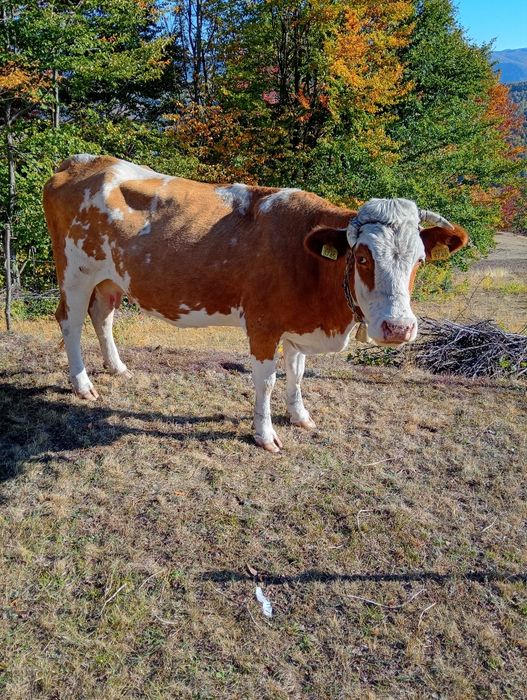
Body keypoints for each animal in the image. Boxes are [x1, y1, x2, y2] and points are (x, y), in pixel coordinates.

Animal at [43, 155, 468, 452]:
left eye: (419, 261)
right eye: (363, 258)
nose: (398, 328)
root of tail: (83, 161)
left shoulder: (297, 325)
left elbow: (297, 372)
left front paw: (300, 416)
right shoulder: (262, 324)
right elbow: (267, 380)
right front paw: (265, 435)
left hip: (110, 279)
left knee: (102, 316)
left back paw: (117, 368)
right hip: (75, 273)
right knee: (70, 321)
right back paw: (83, 385)